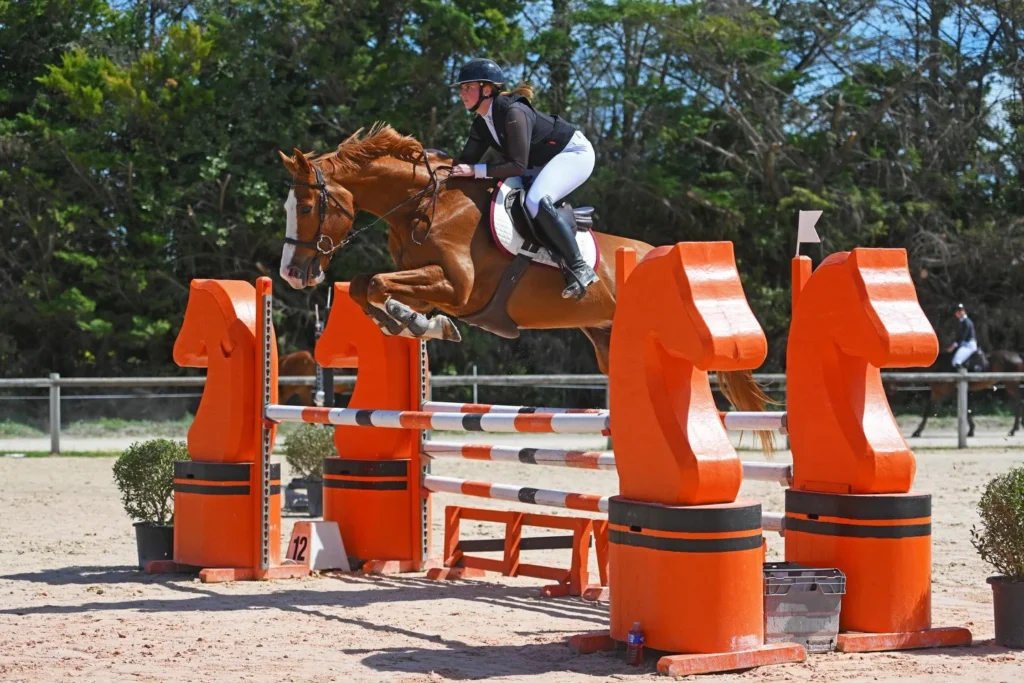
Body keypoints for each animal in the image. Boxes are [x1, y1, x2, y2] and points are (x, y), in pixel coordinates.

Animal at [275, 123, 774, 453]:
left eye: (306, 206)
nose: (293, 274)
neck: (423, 207)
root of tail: (662, 254)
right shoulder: (428, 283)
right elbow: (366, 286)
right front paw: (412, 323)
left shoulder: (457, 288)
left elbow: (378, 283)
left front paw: (417, 323)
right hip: (605, 337)